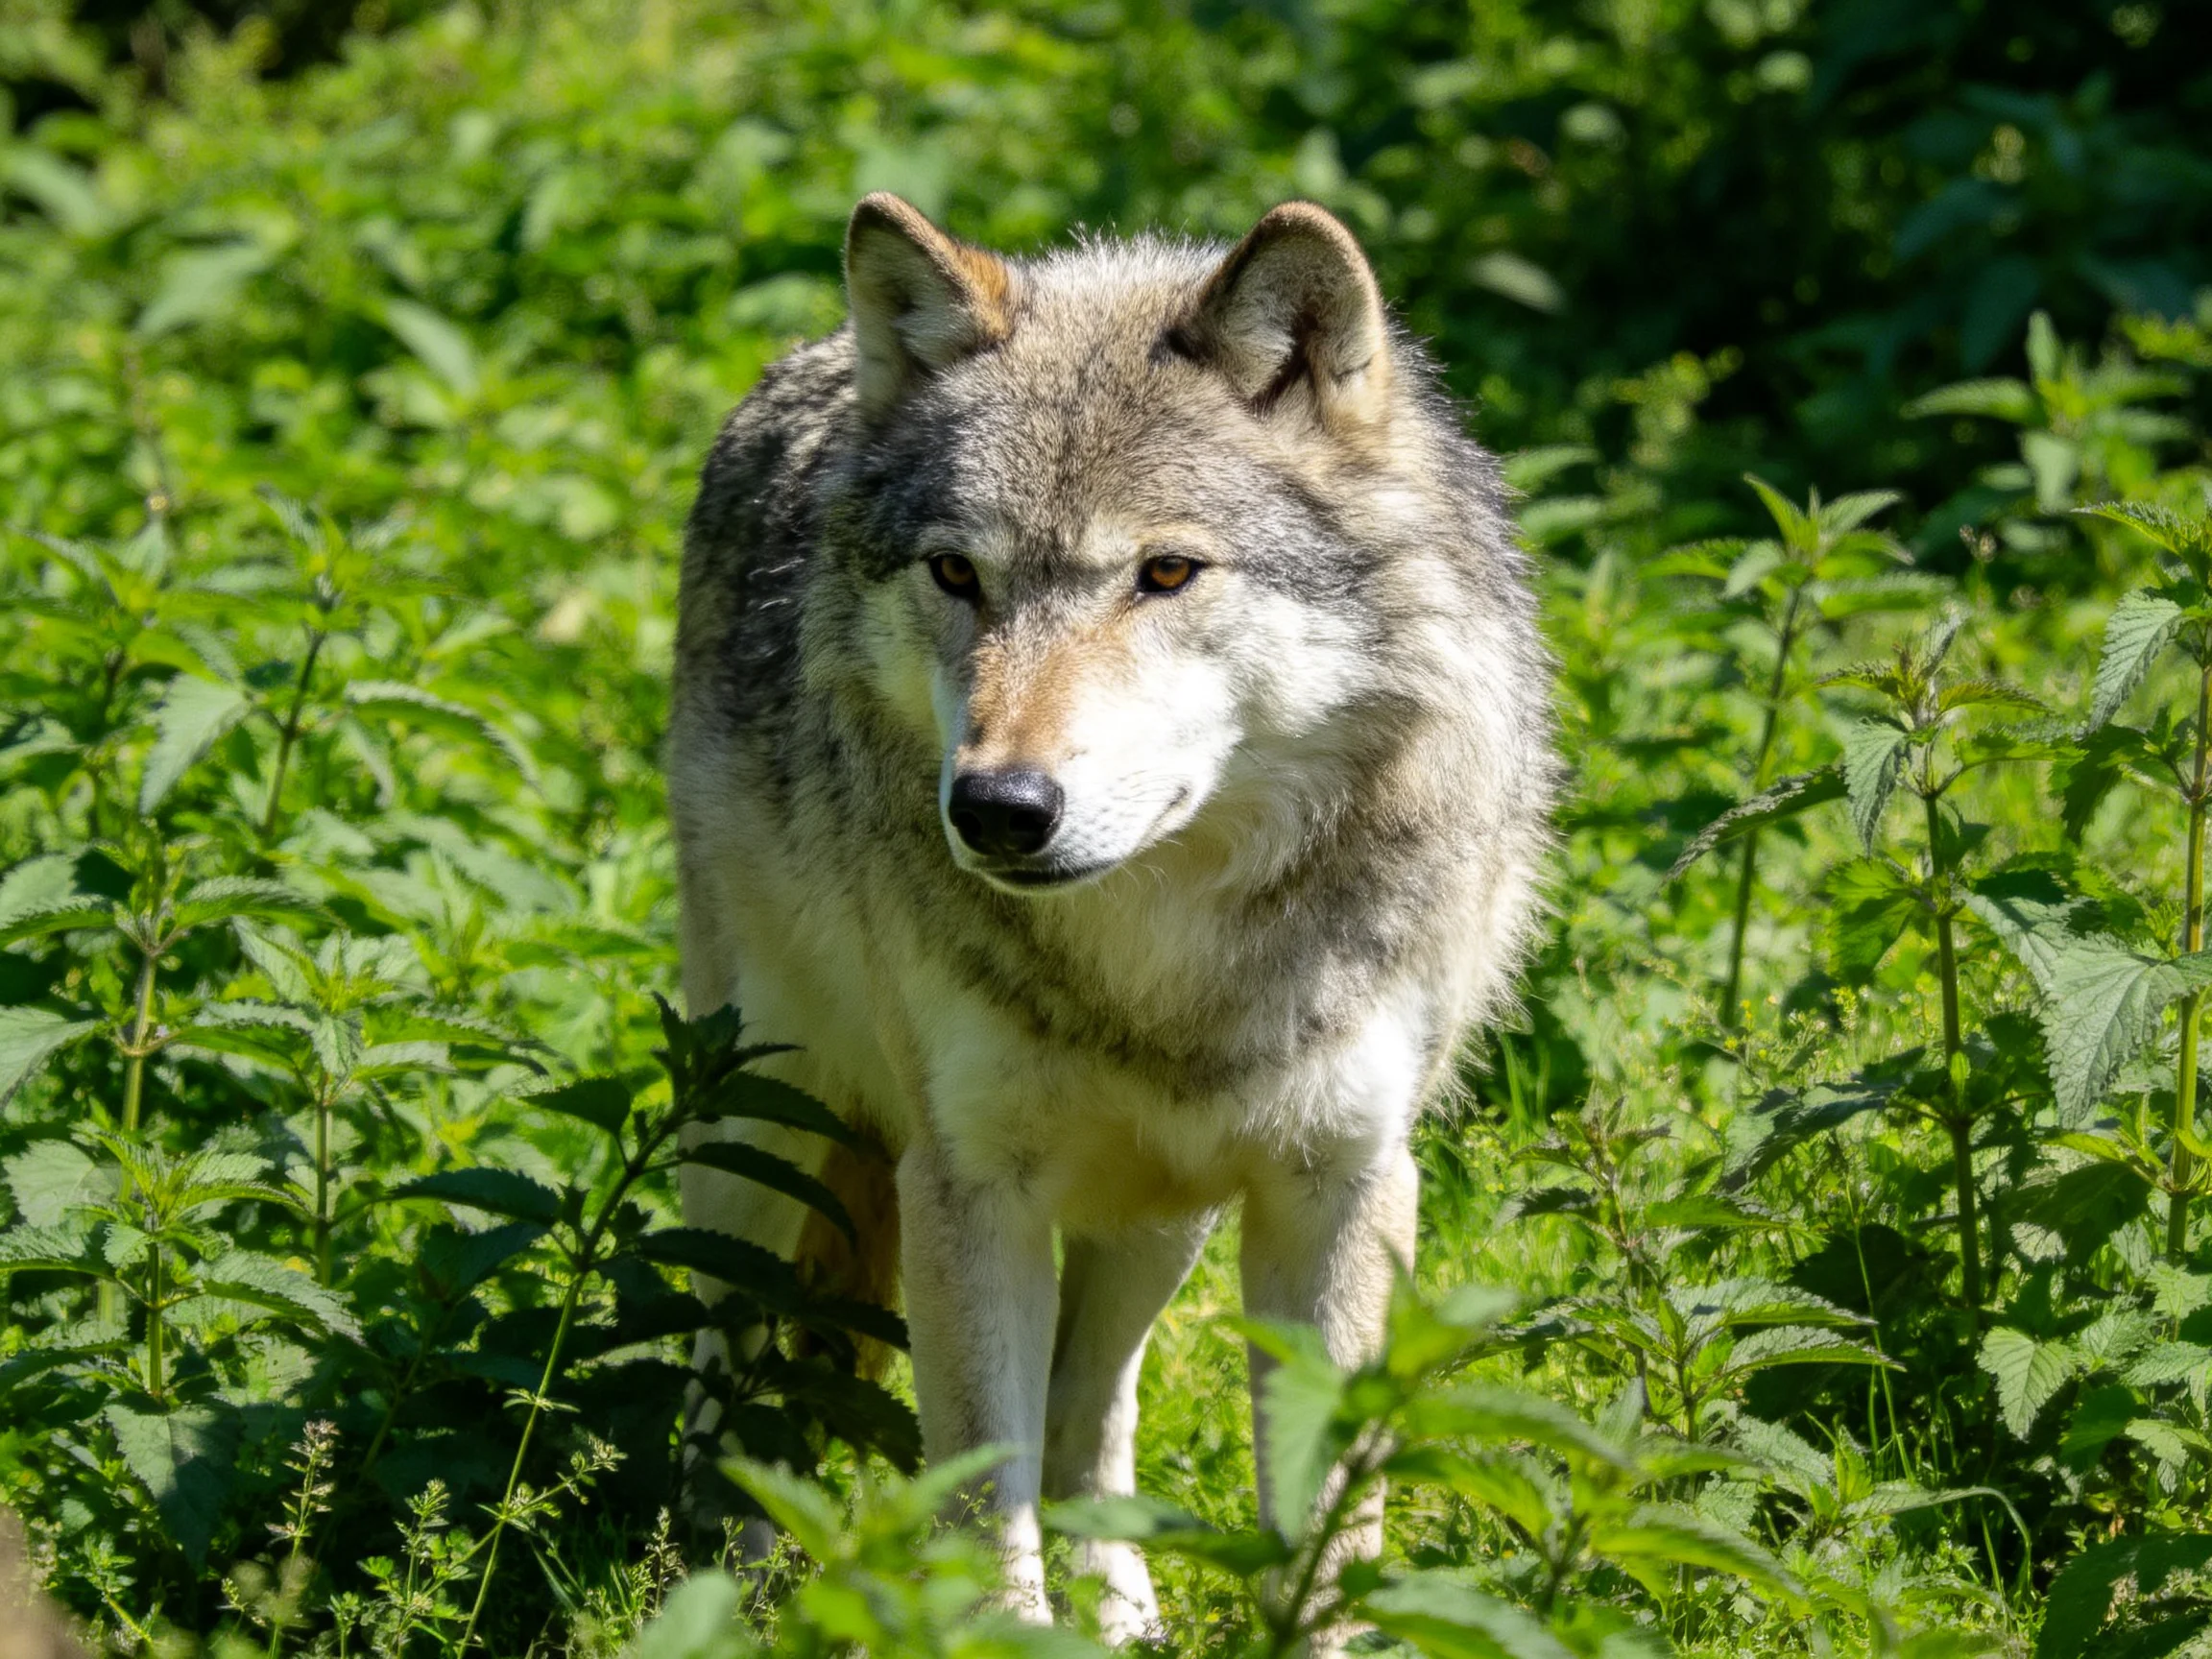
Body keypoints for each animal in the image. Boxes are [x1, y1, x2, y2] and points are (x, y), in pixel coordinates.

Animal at [669, 192, 1554, 1644]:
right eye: (955, 573)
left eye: (1167, 572)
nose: (998, 808)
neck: (1163, 945)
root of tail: (802, 366)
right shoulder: (966, 1189)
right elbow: (985, 1518)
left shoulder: (1343, 1185)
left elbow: (1322, 1526)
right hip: (756, 1131)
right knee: (719, 1381)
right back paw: (706, 1593)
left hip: (1160, 1216)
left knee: (1092, 1416)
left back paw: (1128, 1618)